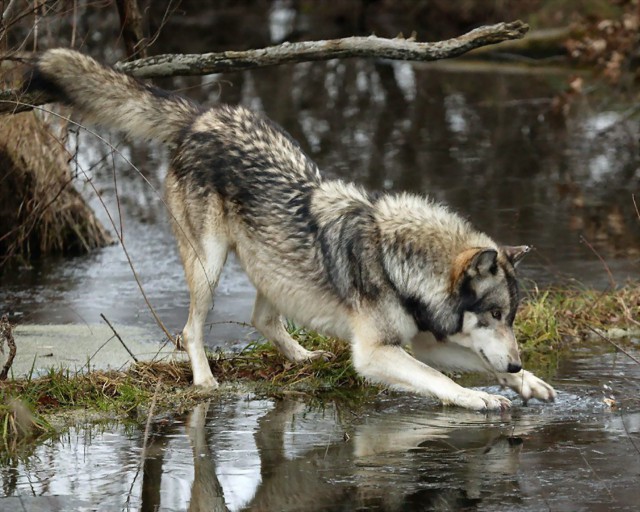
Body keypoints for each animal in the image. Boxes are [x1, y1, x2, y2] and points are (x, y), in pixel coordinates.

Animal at [22, 49, 555, 410]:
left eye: (511, 317)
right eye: (494, 313)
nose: (516, 362)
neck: (398, 263)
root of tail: (201, 115)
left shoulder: (421, 340)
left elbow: (471, 362)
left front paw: (526, 383)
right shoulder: (375, 354)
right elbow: (442, 379)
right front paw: (481, 398)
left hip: (272, 265)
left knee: (262, 320)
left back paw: (302, 357)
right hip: (209, 265)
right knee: (190, 330)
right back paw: (205, 381)